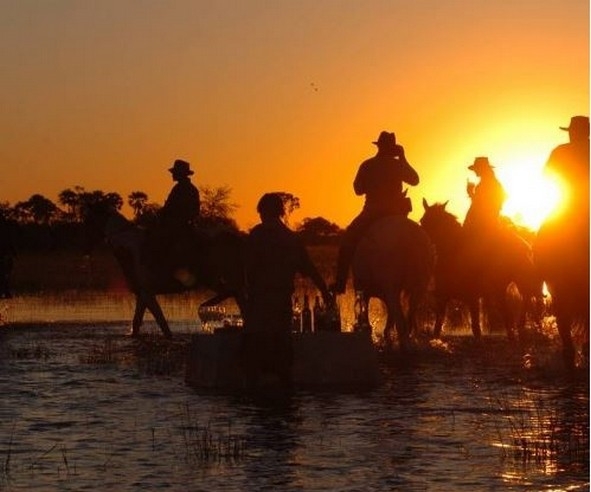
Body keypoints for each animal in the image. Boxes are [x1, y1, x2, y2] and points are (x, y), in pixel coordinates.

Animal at [84, 204, 246, 338]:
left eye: (89, 219)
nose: (85, 245)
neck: (128, 248)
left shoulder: (147, 294)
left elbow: (161, 322)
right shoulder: (142, 294)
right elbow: (137, 323)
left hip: (214, 279)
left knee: (233, 292)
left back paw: (207, 306)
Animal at [352, 216, 434, 354]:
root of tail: (411, 236)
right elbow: (389, 312)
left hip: (392, 282)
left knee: (400, 316)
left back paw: (403, 346)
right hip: (421, 284)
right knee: (409, 313)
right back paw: (408, 341)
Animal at [418, 200, 544, 342]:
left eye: (436, 221)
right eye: (422, 220)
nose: (423, 242)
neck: (455, 252)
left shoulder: (472, 296)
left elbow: (475, 325)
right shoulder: (443, 295)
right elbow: (438, 323)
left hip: (522, 281)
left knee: (528, 301)